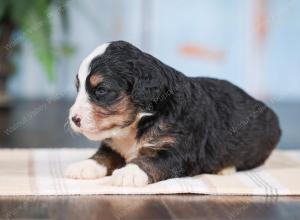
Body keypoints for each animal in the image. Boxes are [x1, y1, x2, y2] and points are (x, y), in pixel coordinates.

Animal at [65, 40, 282, 186]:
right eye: (78, 88)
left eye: (101, 90)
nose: (74, 119)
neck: (139, 121)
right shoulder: (114, 146)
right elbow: (103, 155)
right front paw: (84, 166)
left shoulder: (180, 152)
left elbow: (153, 160)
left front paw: (129, 173)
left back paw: (226, 168)